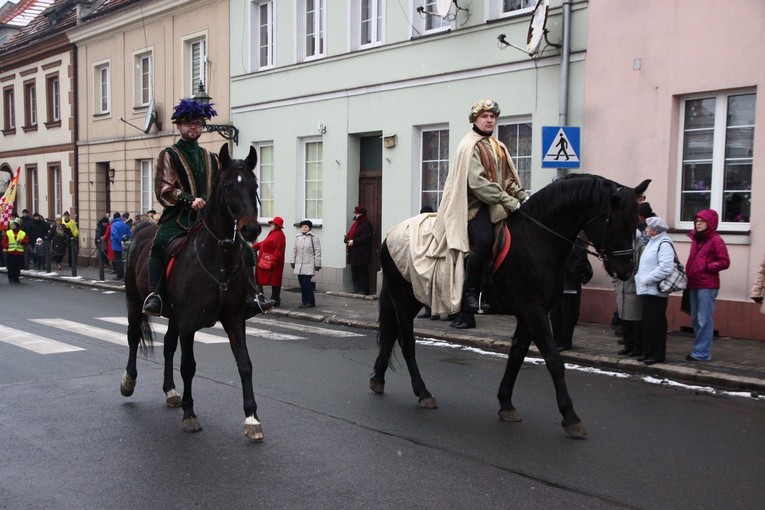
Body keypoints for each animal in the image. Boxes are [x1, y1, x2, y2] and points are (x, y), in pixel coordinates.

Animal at [118, 144, 262, 442]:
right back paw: (128, 381)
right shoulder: (188, 323)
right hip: (135, 302)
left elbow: (244, 364)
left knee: (167, 346)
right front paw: (189, 414)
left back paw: (170, 391)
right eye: (228, 187)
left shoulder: (234, 319)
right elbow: (188, 365)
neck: (218, 260)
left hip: (172, 316)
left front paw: (252, 418)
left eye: (254, 185)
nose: (251, 229)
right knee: (133, 337)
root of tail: (141, 229)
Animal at [368, 173, 648, 436]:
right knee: (406, 342)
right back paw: (422, 392)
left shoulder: (530, 313)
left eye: (636, 224)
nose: (626, 271)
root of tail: (390, 234)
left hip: (412, 298)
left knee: (392, 335)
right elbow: (554, 360)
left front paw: (506, 404)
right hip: (403, 298)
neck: (537, 239)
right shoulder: (534, 312)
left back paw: (378, 379)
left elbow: (516, 356)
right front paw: (570, 417)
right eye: (620, 224)